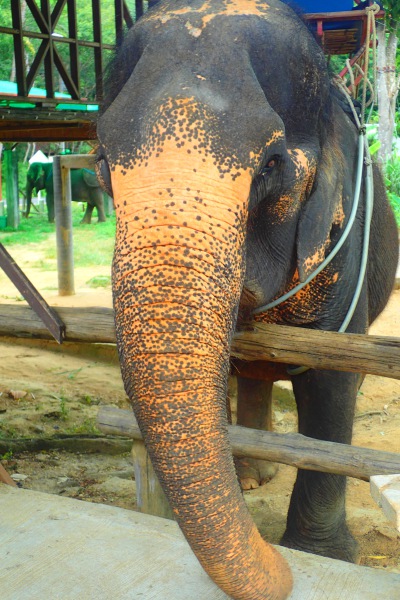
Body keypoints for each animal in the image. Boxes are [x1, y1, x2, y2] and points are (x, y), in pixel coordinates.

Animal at [95, 2, 398, 596]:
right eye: (100, 163)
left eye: (271, 164)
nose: (278, 565)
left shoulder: (342, 248)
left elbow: (331, 381)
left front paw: (317, 555)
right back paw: (254, 475)